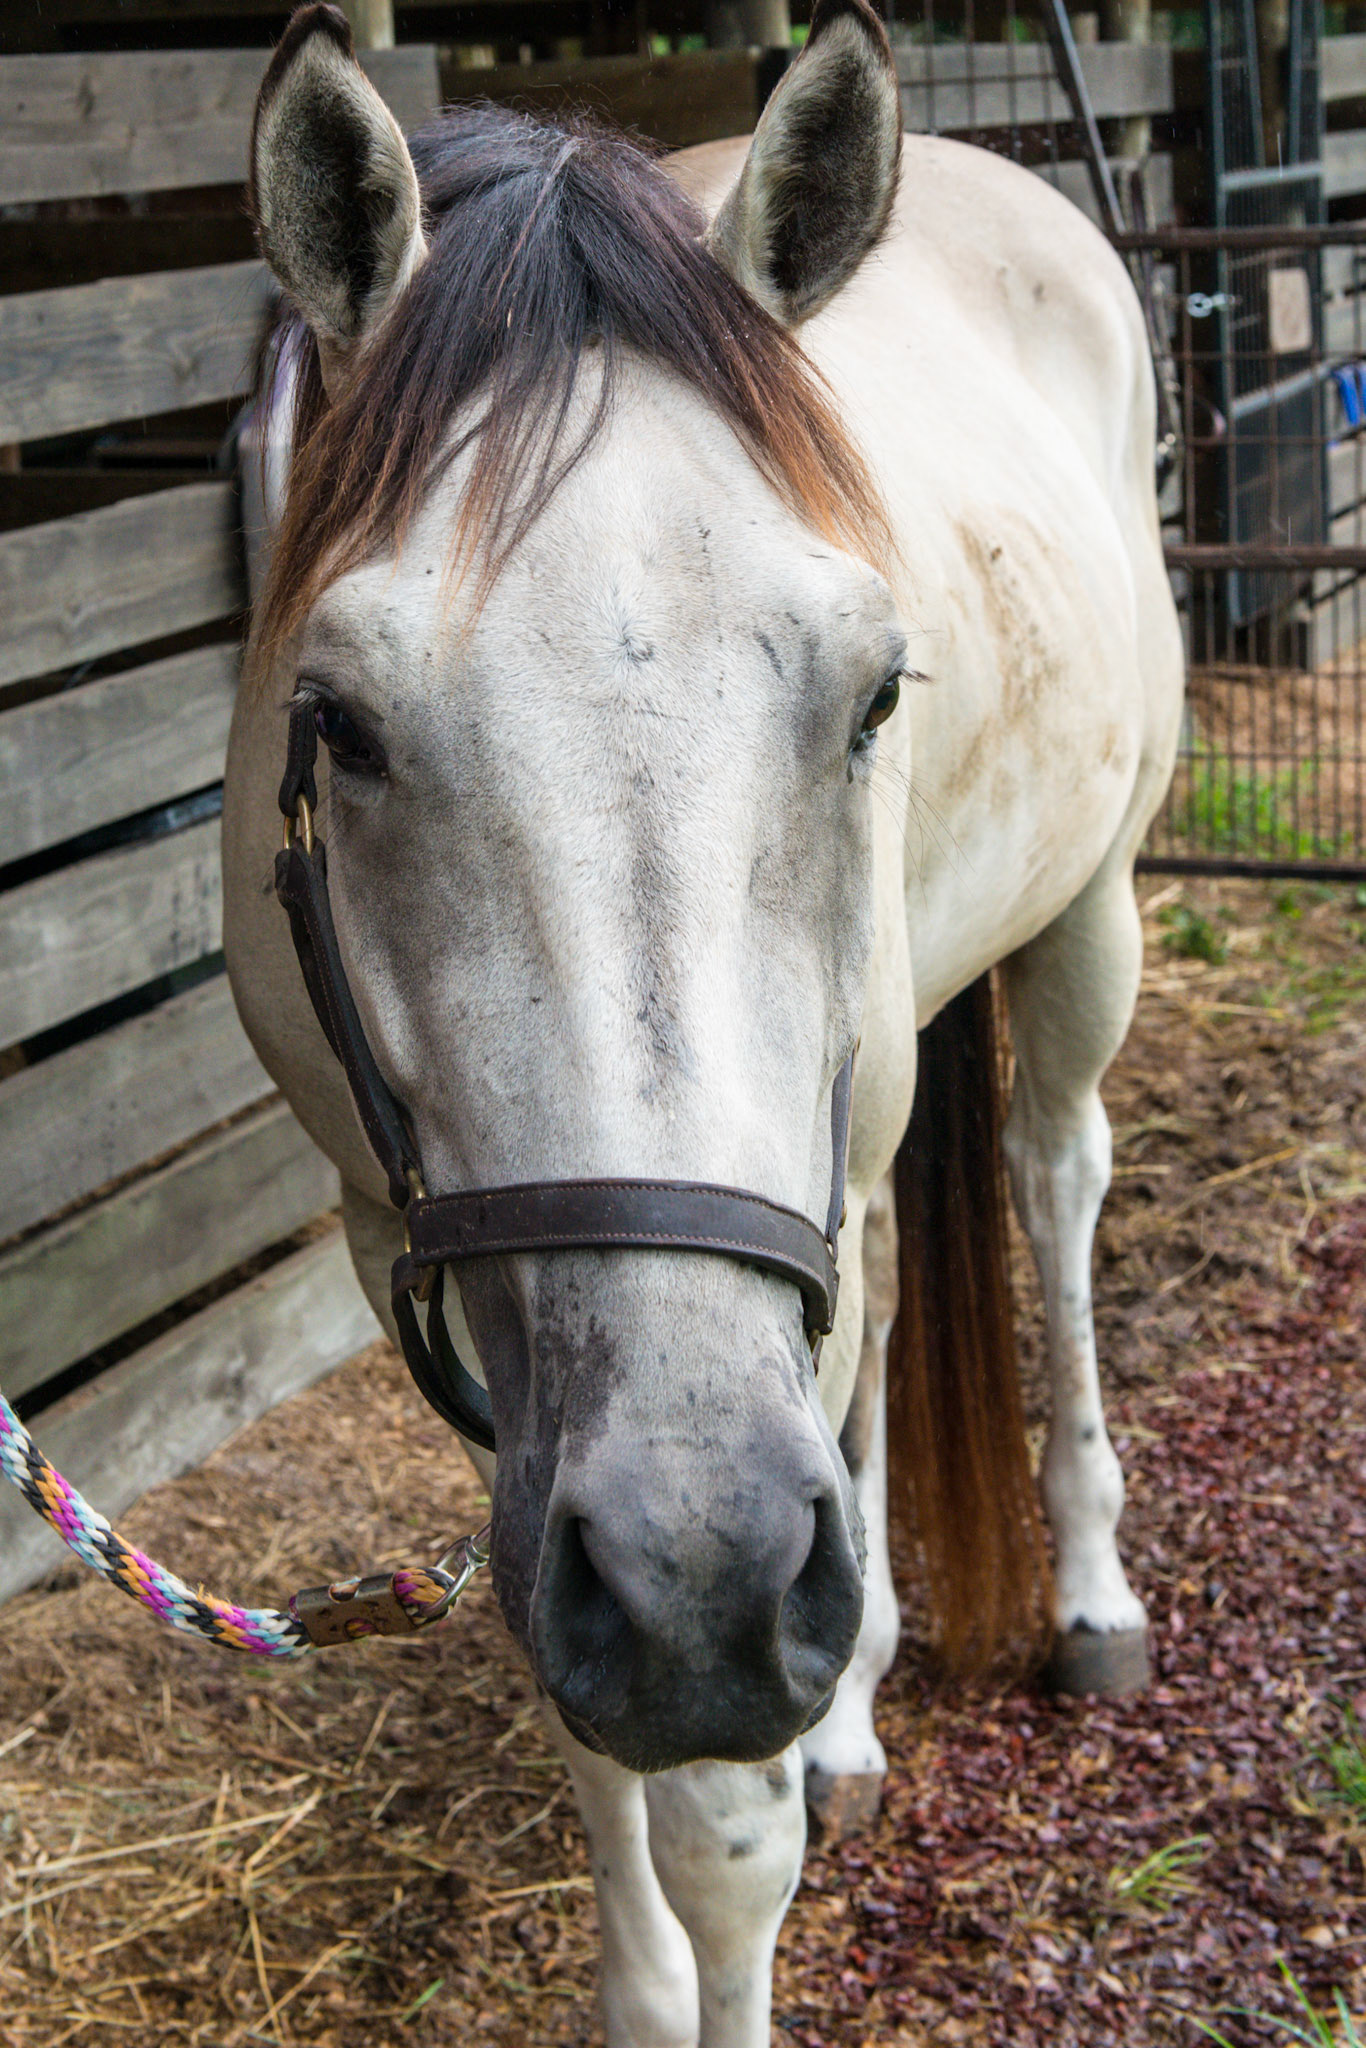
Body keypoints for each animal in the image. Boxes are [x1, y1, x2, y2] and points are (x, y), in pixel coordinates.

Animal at [223, 1, 1183, 2036]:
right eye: (335, 724)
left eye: (876, 690)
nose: (697, 1577)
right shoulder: (419, 1266)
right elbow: (588, 1709)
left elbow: (728, 1840)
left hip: (1089, 914)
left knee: (1055, 1185)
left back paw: (1085, 1592)